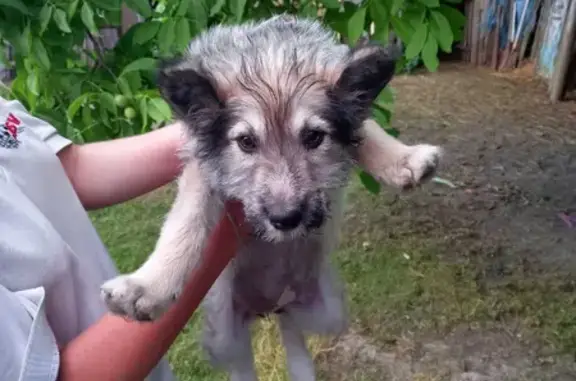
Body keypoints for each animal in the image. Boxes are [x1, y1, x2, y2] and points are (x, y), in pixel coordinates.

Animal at [100, 14, 440, 380]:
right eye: (246, 142)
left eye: (314, 137)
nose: (285, 219)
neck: (270, 56)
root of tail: (269, 305)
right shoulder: (201, 163)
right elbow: (186, 221)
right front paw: (148, 285)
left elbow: (366, 126)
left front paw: (404, 159)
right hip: (224, 335)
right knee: (241, 362)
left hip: (328, 313)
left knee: (293, 330)